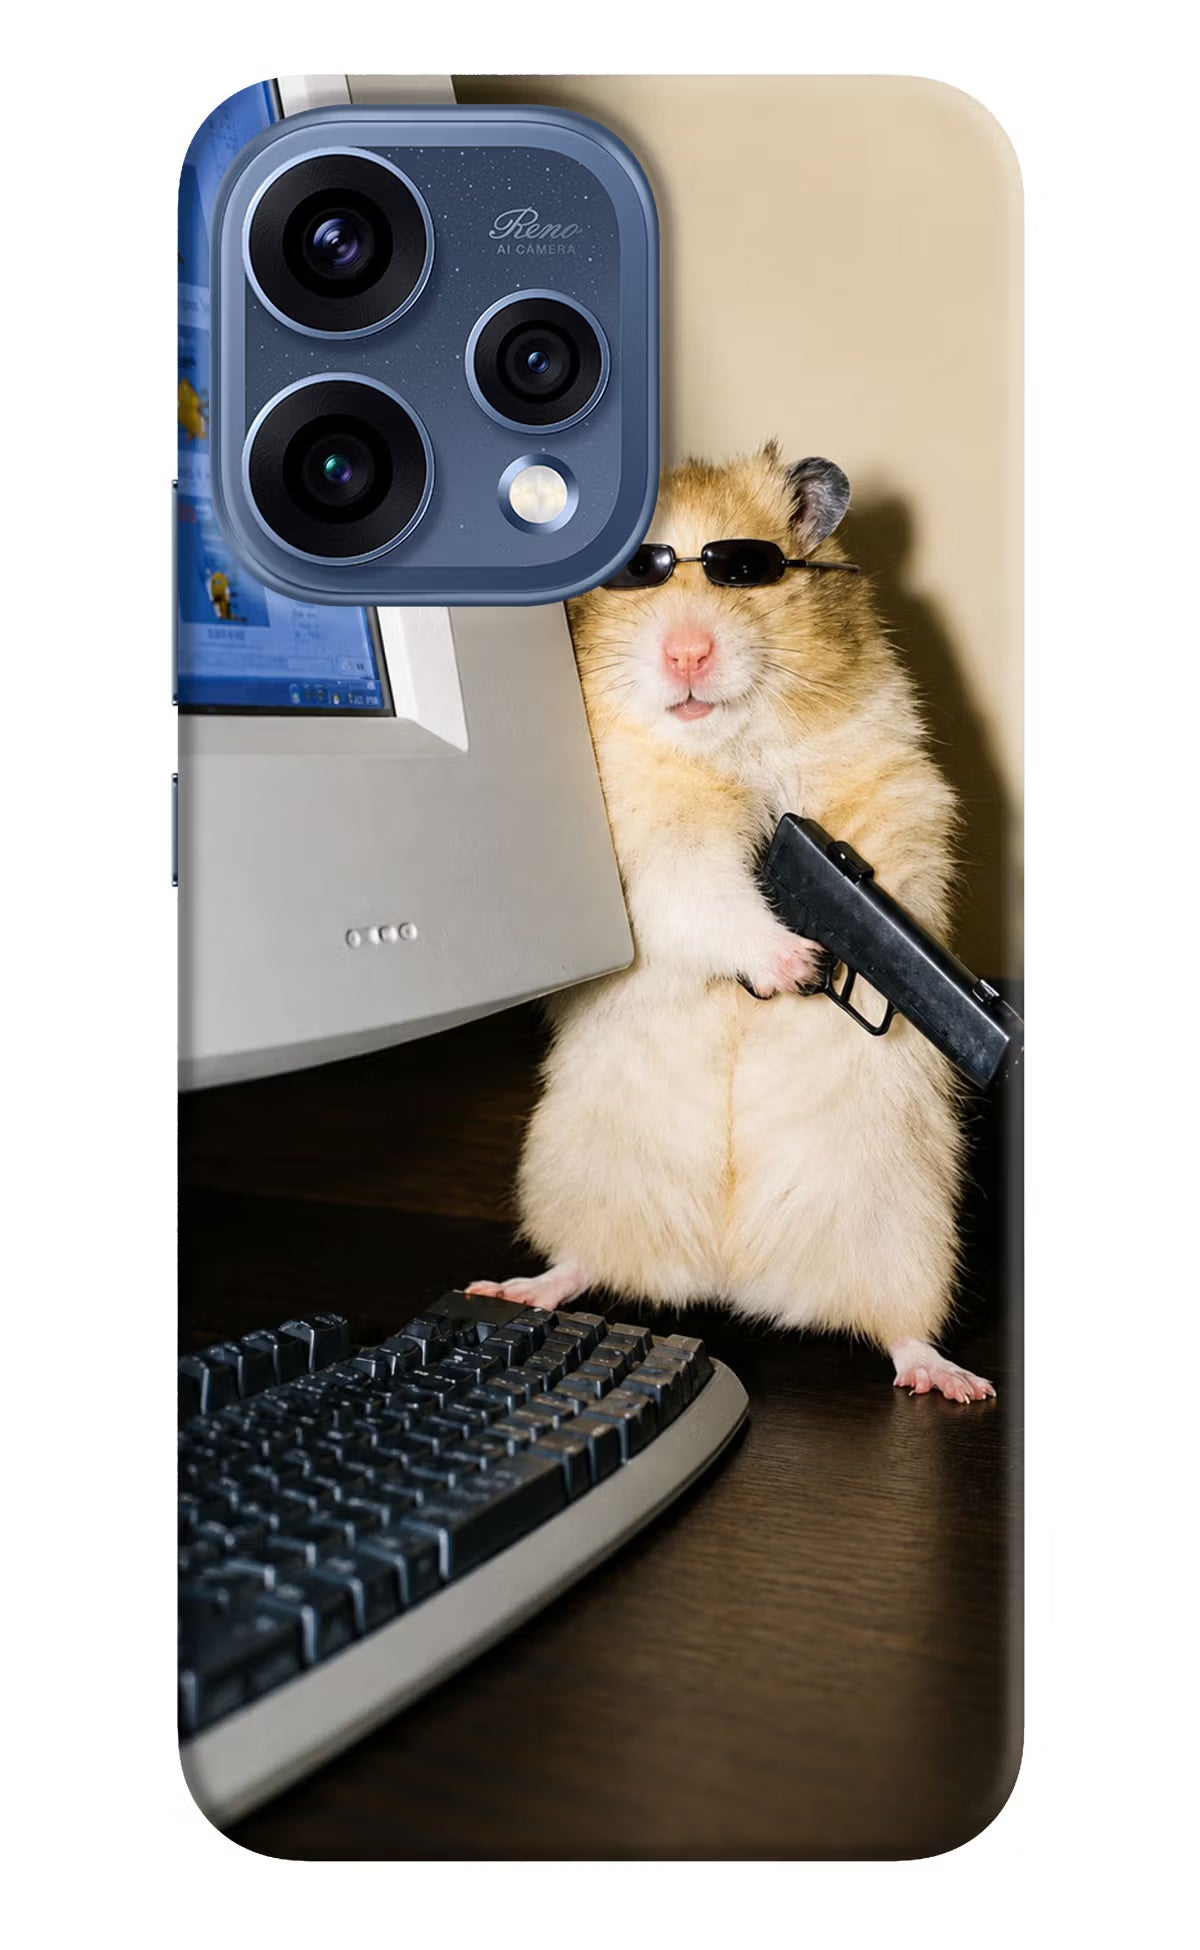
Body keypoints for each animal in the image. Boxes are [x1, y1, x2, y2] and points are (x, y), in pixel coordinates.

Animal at [469, 445, 994, 1402]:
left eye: (746, 571)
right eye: (635, 574)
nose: (687, 652)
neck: (726, 746)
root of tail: (730, 1276)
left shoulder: (895, 789)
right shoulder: (649, 851)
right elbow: (708, 895)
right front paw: (796, 964)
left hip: (907, 1230)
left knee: (900, 1329)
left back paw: (954, 1381)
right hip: (579, 1177)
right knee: (582, 1263)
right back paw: (515, 1288)